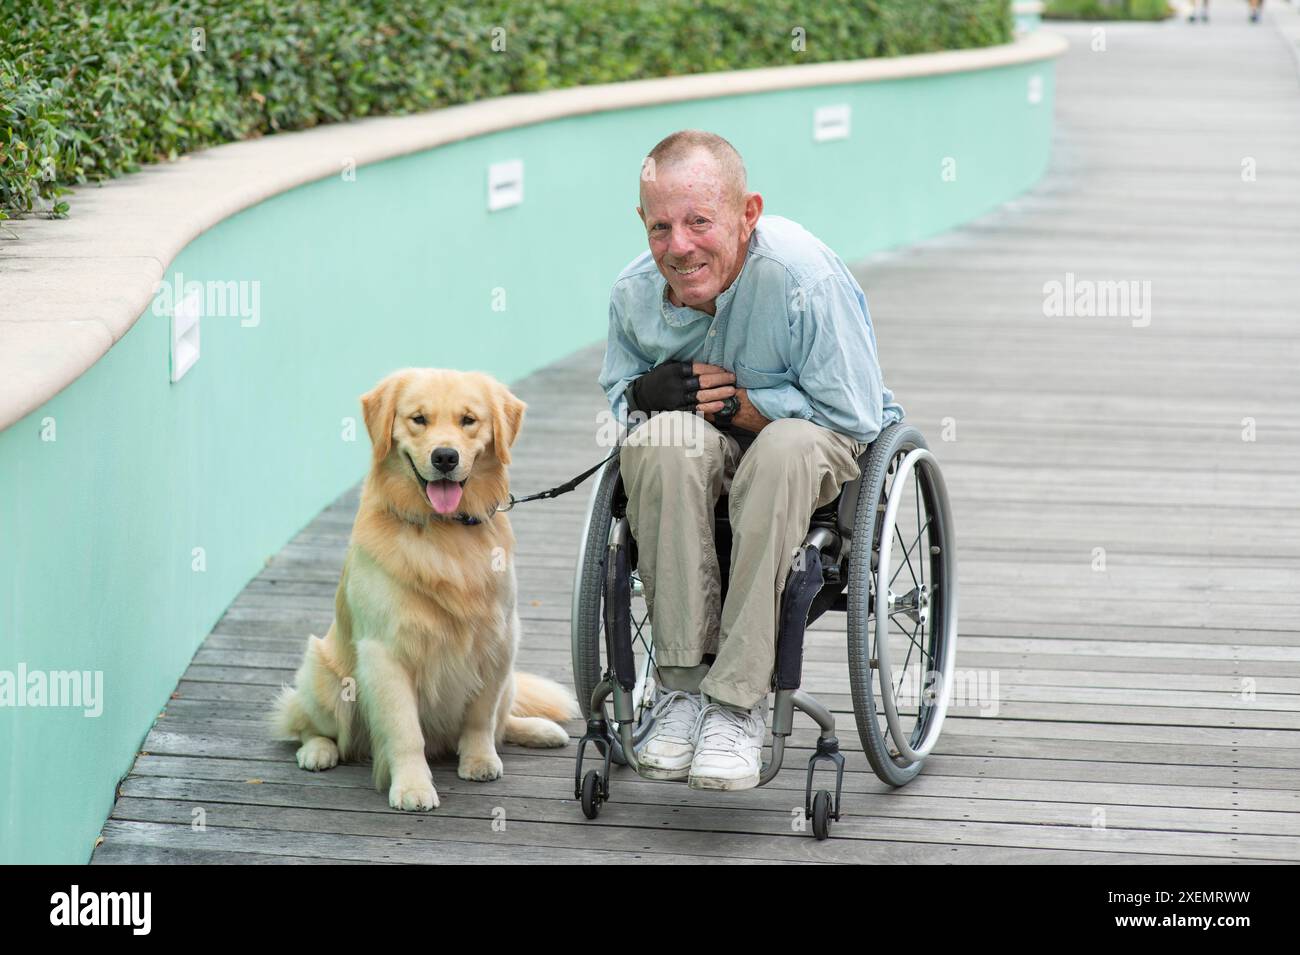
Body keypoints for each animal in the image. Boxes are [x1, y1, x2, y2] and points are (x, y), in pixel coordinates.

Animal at [271, 369, 577, 810]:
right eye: (418, 419)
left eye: (468, 420)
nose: (445, 457)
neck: (444, 530)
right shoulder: (385, 653)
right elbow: (404, 731)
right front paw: (412, 786)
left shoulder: (499, 640)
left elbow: (481, 717)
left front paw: (479, 760)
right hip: (324, 674)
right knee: (308, 725)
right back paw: (317, 751)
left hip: (510, 676)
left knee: (503, 719)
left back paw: (538, 730)